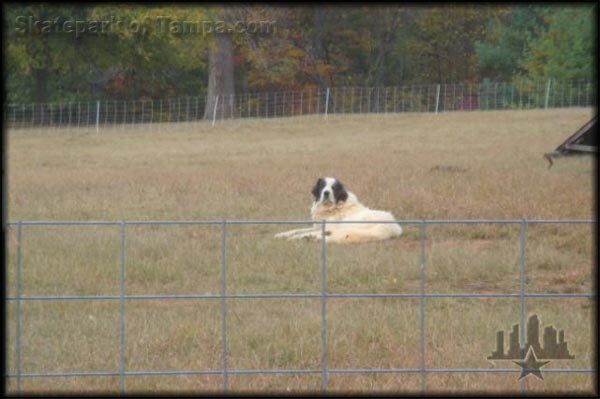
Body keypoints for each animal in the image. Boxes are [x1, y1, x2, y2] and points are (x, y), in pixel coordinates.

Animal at [276, 177, 404, 244]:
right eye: (322, 186)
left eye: (333, 188)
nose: (326, 193)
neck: (331, 208)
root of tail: (391, 226)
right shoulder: (317, 226)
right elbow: (296, 229)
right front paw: (281, 234)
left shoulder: (328, 227)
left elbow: (304, 232)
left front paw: (296, 237)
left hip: (350, 225)